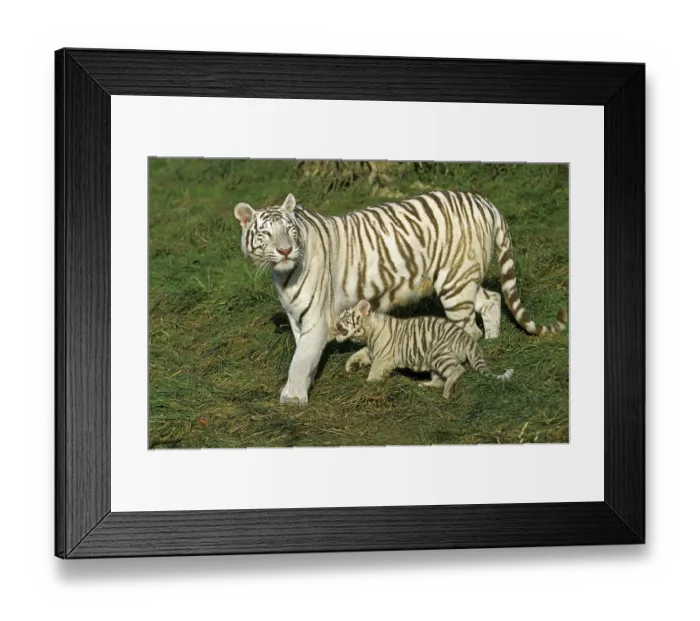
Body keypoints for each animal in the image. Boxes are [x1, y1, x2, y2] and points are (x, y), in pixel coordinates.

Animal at [334, 299, 514, 399]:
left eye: (345, 318)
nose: (335, 326)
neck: (369, 331)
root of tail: (468, 340)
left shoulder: (382, 358)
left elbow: (374, 372)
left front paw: (368, 385)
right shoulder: (373, 350)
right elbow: (359, 354)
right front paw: (350, 366)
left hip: (438, 354)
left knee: (457, 370)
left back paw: (447, 392)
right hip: (435, 362)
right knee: (439, 380)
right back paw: (424, 385)